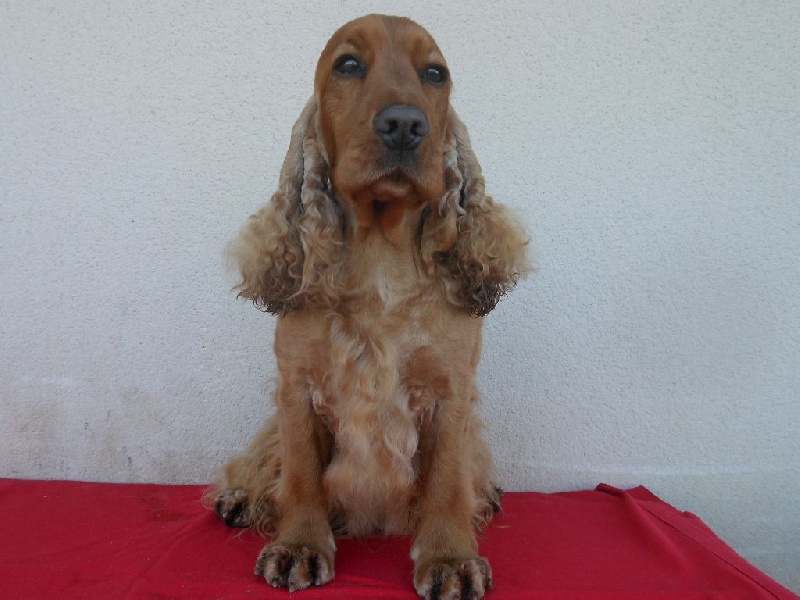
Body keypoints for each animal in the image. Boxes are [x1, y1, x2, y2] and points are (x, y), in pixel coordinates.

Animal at [209, 15, 528, 600]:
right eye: (349, 64)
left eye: (436, 73)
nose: (404, 124)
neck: (381, 259)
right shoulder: (297, 385)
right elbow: (299, 474)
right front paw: (298, 548)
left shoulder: (451, 390)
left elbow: (448, 481)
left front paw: (450, 558)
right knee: (264, 459)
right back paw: (239, 497)